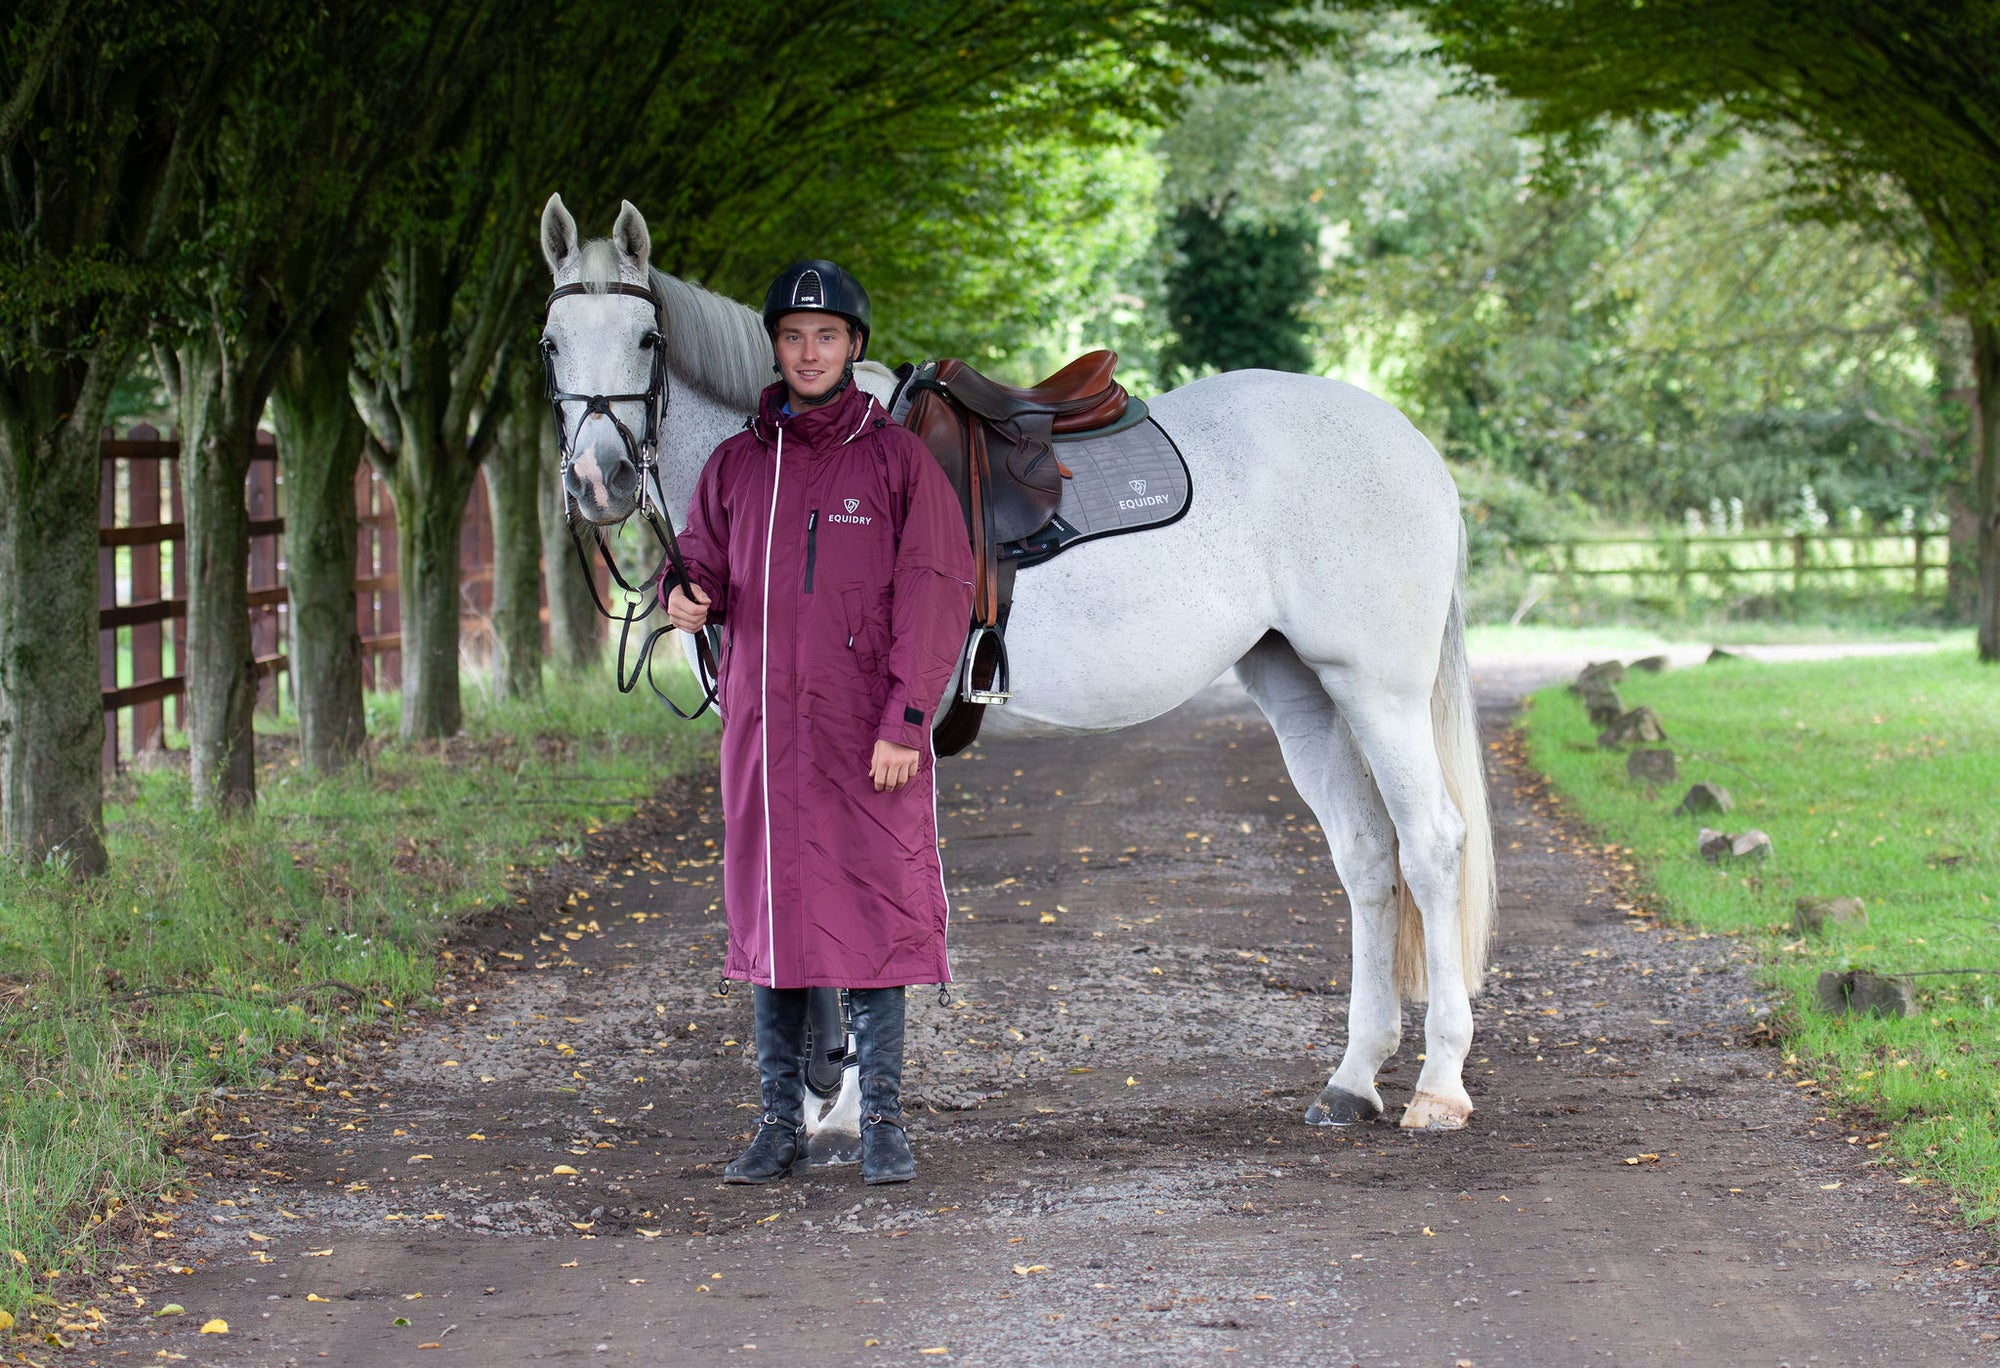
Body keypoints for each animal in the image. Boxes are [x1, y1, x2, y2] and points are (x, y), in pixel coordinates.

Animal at [540, 195, 1496, 1136]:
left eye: (646, 339)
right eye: (551, 344)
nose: (597, 479)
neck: (808, 469)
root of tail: (1409, 444)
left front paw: (844, 1107)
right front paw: (816, 1093)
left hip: (1379, 690)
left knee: (1431, 847)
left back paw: (1439, 1084)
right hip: (1303, 690)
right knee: (1367, 855)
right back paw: (1353, 1078)